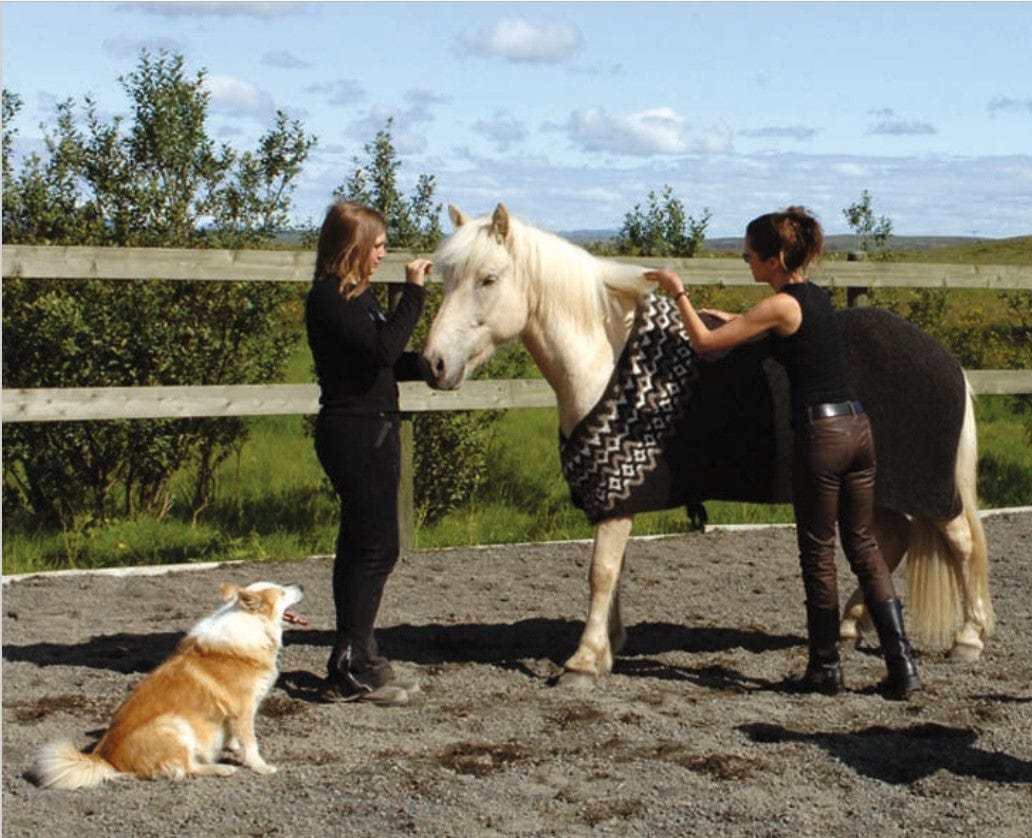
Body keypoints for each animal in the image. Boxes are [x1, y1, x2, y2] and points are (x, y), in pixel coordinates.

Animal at [421, 203, 995, 688]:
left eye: (489, 278)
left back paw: (968, 638)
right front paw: (609, 647)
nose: (434, 364)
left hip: (925, 490)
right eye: (445, 277)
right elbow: (615, 570)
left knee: (962, 541)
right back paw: (852, 627)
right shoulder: (620, 498)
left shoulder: (616, 496)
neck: (606, 357)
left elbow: (600, 572)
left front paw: (583, 662)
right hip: (873, 486)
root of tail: (945, 358)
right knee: (892, 542)